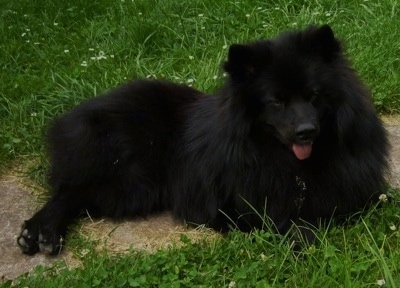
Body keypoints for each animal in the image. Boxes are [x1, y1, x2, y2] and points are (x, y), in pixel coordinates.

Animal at [17, 24, 390, 254]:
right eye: (276, 102)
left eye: (313, 95)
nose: (306, 131)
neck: (289, 163)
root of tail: (74, 116)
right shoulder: (238, 205)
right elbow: (294, 224)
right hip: (131, 178)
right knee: (70, 192)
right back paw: (41, 231)